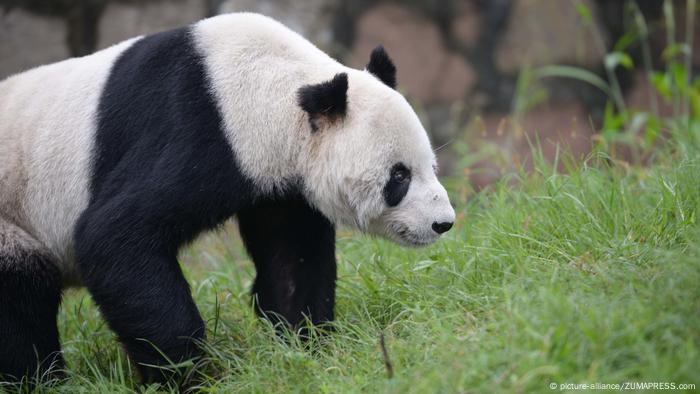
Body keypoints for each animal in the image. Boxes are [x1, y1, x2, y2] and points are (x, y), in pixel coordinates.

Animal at [0, 13, 454, 384]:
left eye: (431, 166)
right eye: (399, 176)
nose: (443, 223)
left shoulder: (280, 184)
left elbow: (293, 258)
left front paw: (307, 345)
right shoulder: (195, 128)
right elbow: (113, 237)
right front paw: (188, 372)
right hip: (12, 215)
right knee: (22, 299)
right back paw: (42, 380)